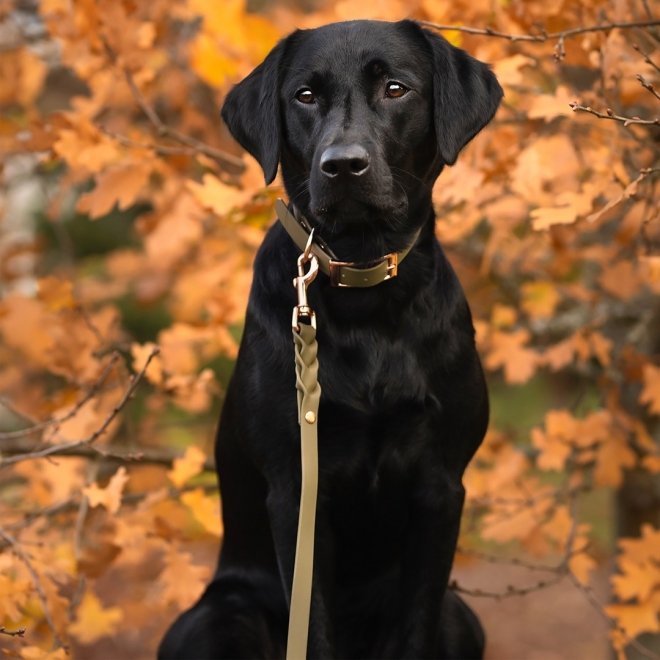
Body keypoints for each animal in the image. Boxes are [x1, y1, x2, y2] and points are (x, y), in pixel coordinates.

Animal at [160, 20, 500, 660]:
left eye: (396, 88)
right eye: (305, 96)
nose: (343, 166)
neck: (365, 291)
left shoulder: (441, 487)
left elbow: (416, 625)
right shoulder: (297, 492)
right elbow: (313, 628)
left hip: (464, 618)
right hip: (218, 618)